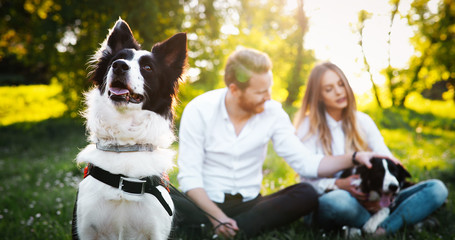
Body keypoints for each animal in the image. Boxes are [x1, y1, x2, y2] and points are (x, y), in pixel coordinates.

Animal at [71, 17, 187, 239]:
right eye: (115, 60)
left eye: (148, 68)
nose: (119, 66)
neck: (126, 146)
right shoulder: (85, 229)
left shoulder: (156, 230)